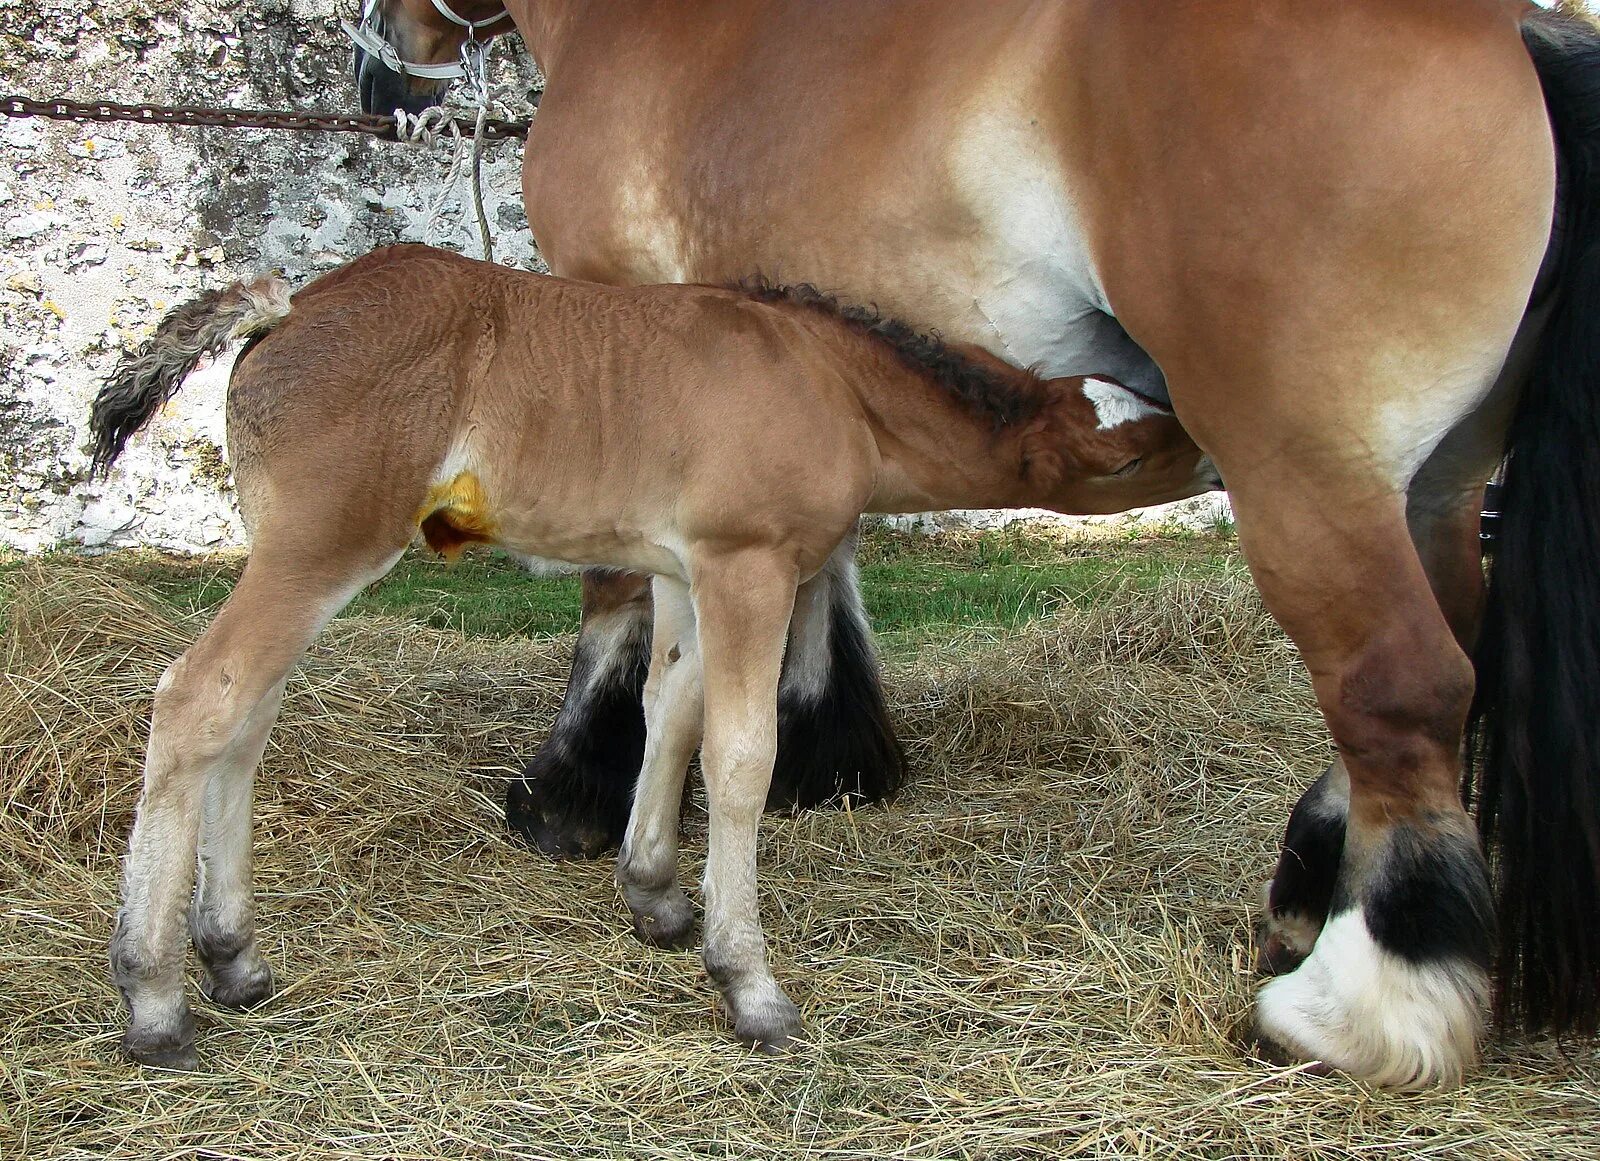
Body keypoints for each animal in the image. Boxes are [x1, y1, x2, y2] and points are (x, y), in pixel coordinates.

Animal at [90, 247, 1209, 1074]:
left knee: (247, 721)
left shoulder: (679, 571)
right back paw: (155, 998)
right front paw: (748, 983)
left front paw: (657, 896)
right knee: (197, 699)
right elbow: (742, 756)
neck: (829, 383)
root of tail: (285, 307)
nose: (1209, 445)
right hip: (321, 548)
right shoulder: (747, 564)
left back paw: (232, 957)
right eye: (1128, 453)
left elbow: (670, 710)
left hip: (302, 559)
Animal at [353, 0, 1600, 1093]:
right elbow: (819, 568)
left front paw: (572, 789)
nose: (380, 76)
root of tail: (1516, 34)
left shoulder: (620, 330)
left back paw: (1359, 1006)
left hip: (1307, 478)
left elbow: (623, 599)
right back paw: (1307, 887)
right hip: (1434, 486)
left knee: (1399, 684)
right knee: (1444, 659)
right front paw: (830, 753)